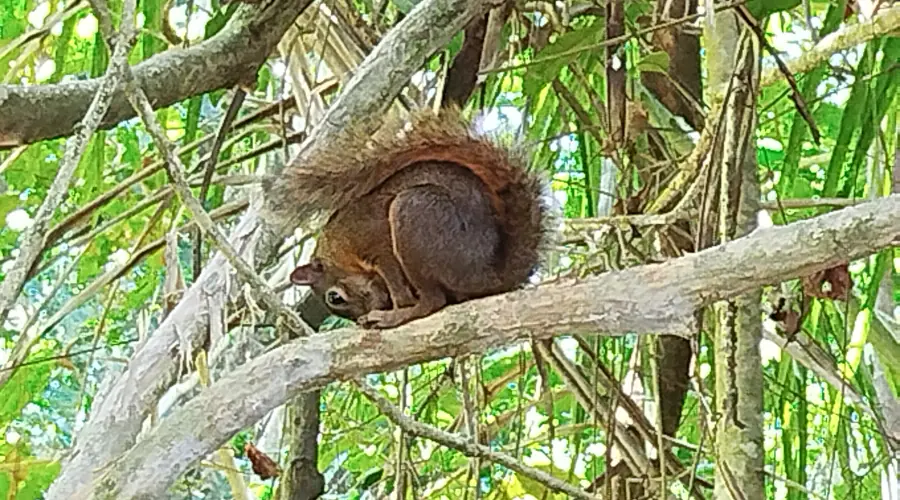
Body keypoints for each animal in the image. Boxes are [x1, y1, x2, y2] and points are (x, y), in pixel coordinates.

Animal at [264, 106, 552, 328]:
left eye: (334, 298)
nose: (361, 318)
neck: (338, 249)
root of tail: (493, 276)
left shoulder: (376, 242)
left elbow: (393, 278)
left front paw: (396, 306)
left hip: (415, 212)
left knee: (433, 301)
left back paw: (398, 316)